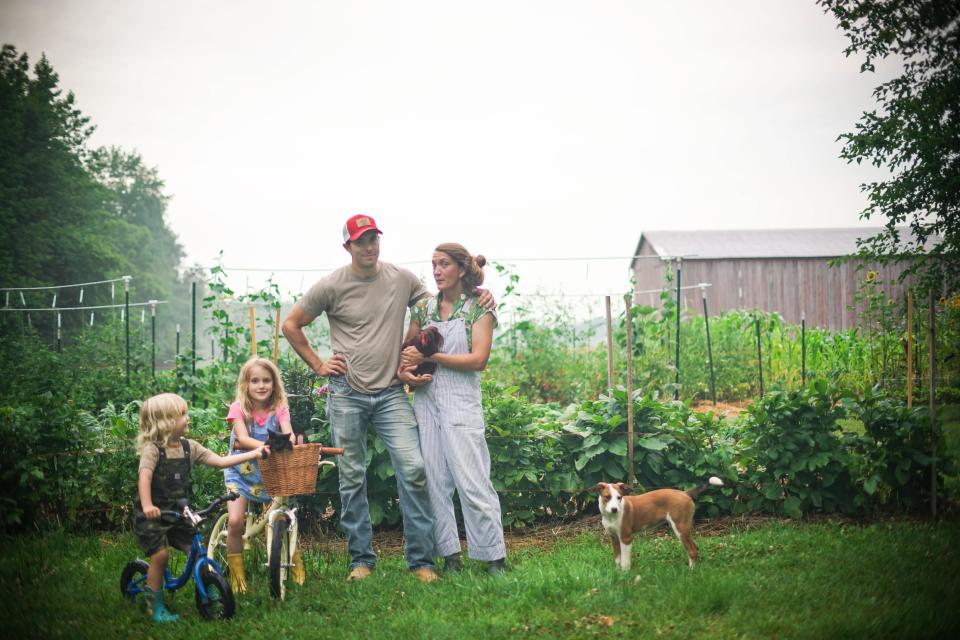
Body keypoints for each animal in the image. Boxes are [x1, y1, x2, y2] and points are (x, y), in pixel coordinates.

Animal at [588, 478, 724, 572]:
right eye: (607, 497)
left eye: (619, 497)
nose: (615, 509)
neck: (611, 517)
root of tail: (685, 493)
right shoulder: (614, 538)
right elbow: (617, 558)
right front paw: (617, 572)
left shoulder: (625, 538)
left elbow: (625, 561)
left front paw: (625, 574)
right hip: (684, 528)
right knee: (695, 547)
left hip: (680, 527)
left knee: (692, 550)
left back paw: (691, 571)